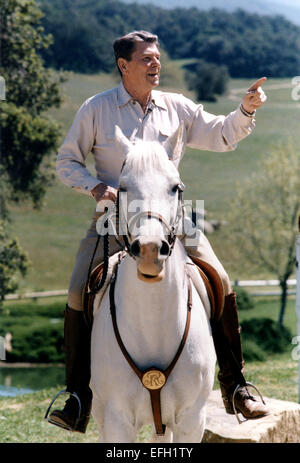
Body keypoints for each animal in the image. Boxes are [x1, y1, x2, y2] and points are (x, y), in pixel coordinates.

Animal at [89, 125, 216, 444]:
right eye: (122, 187)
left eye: (175, 187)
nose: (149, 251)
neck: (153, 322)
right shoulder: (117, 420)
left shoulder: (191, 420)